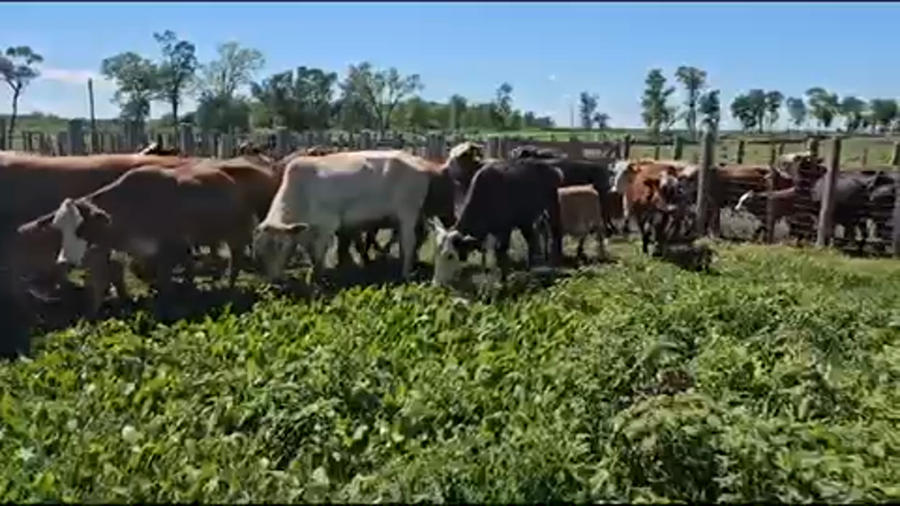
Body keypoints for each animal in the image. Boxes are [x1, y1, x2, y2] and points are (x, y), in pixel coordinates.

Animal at [48, 164, 257, 311]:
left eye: (80, 228)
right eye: (60, 228)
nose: (63, 261)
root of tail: (227, 178)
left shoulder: (170, 246)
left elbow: (165, 277)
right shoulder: (144, 251)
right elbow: (142, 271)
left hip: (234, 234)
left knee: (235, 260)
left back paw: (228, 286)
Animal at [253, 150, 457, 284]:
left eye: (280, 246)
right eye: (260, 251)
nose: (274, 280)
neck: (300, 192)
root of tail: (417, 161)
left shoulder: (327, 225)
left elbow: (318, 255)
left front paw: (317, 278)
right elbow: (312, 254)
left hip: (408, 213)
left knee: (409, 243)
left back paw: (405, 273)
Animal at [431, 158, 566, 286]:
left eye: (450, 255)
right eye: (436, 254)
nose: (436, 283)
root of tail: (552, 169)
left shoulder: (505, 229)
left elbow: (501, 252)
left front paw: (503, 281)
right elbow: (489, 253)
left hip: (552, 204)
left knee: (556, 231)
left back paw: (555, 261)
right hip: (526, 219)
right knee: (532, 239)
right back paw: (530, 268)